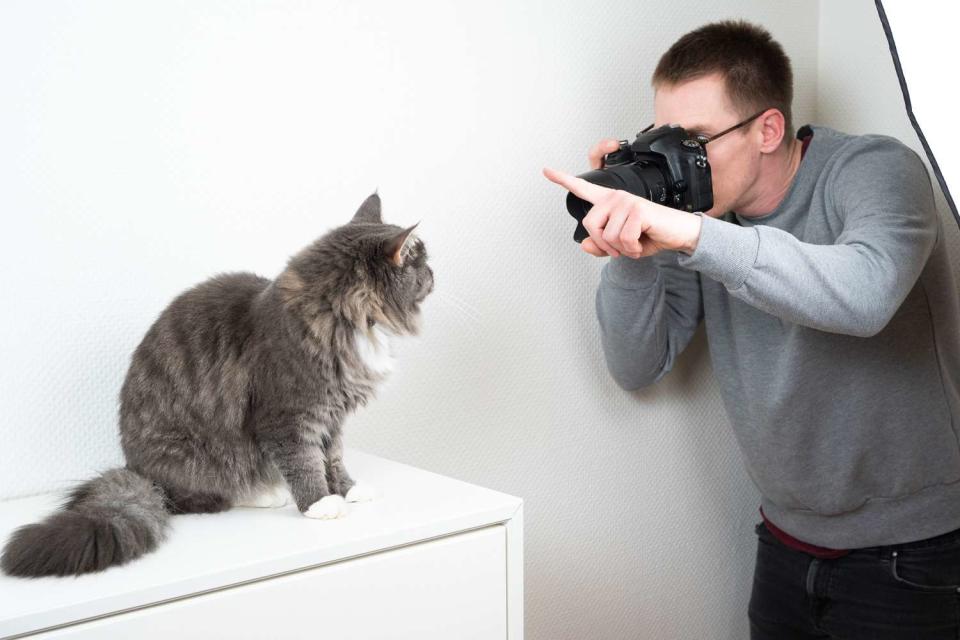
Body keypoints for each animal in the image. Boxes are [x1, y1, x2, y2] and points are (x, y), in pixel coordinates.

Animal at [0, 192, 434, 576]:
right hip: (198, 455)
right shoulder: (289, 417)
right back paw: (262, 493)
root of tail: (137, 471)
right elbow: (305, 462)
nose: (434, 274)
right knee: (197, 497)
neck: (345, 318)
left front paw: (347, 489)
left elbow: (334, 459)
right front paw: (320, 504)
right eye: (420, 263)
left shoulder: (333, 415)